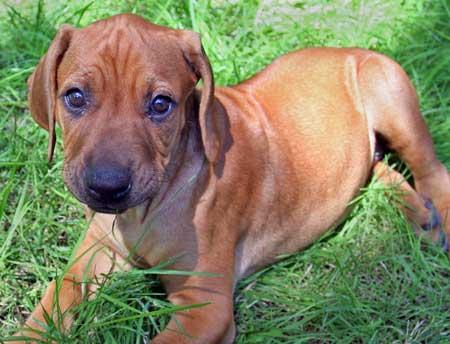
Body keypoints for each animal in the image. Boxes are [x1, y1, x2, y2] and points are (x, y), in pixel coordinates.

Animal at [12, 13, 448, 344]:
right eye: (75, 97)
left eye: (161, 104)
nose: (106, 186)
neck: (146, 211)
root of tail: (349, 49)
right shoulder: (92, 256)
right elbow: (52, 302)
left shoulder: (205, 307)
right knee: (377, 166)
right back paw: (419, 215)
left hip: (391, 97)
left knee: (429, 167)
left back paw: (435, 216)